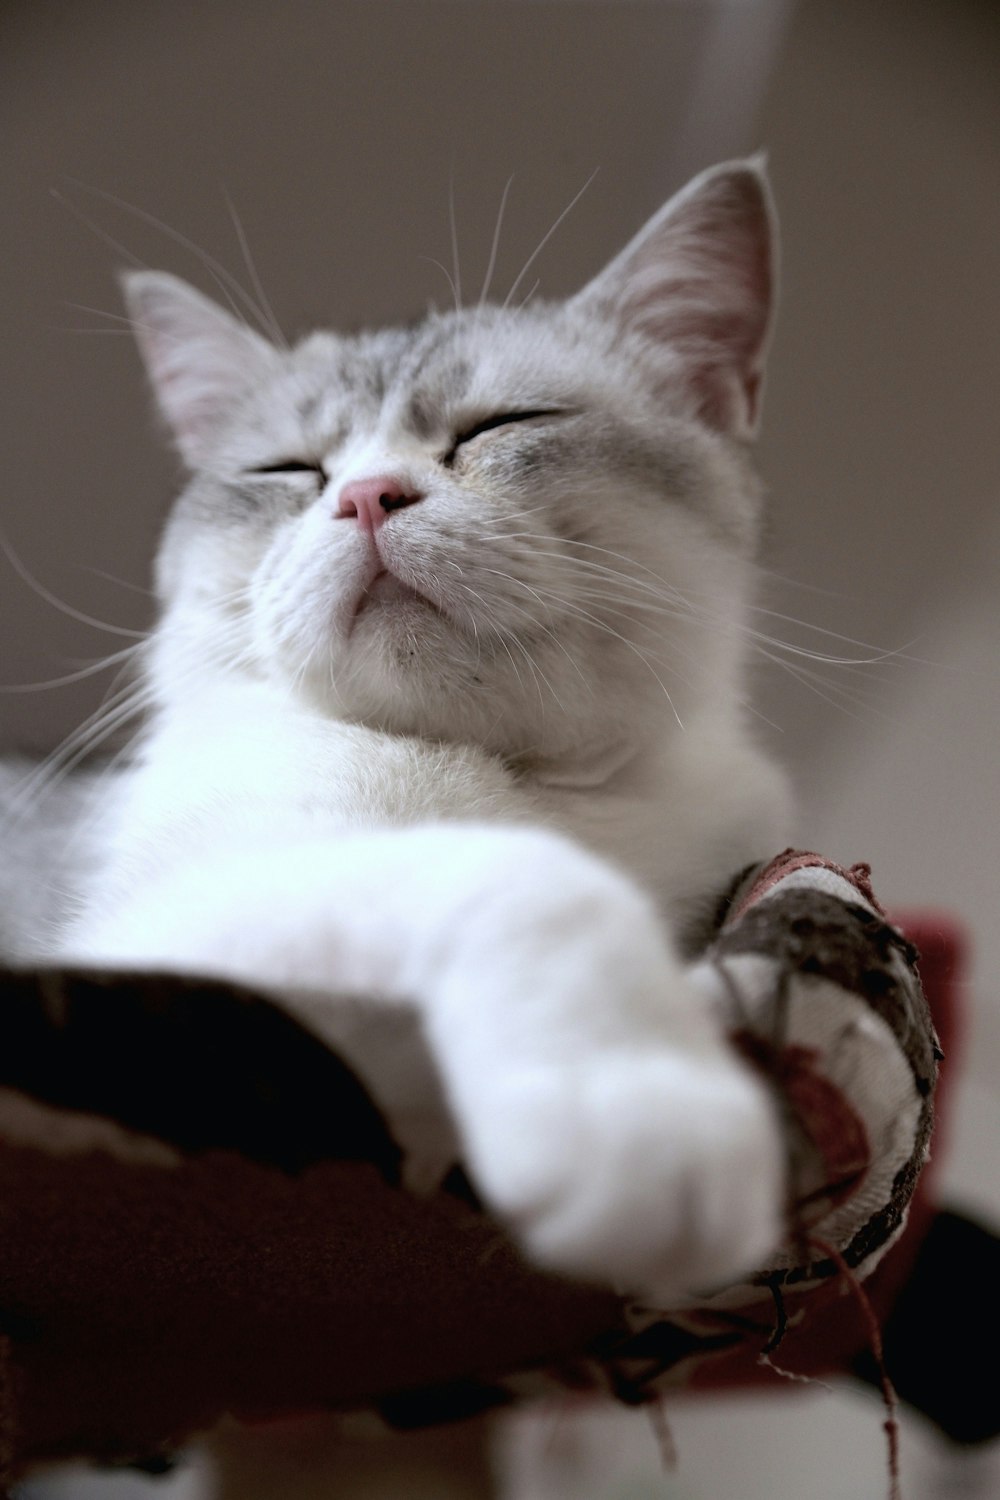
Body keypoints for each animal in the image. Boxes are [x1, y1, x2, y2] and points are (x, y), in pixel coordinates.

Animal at [7, 158, 791, 1314]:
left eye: (501, 423)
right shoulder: (175, 931)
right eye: (289, 470)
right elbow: (534, 881)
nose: (370, 497)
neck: (532, 785)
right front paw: (646, 1117)